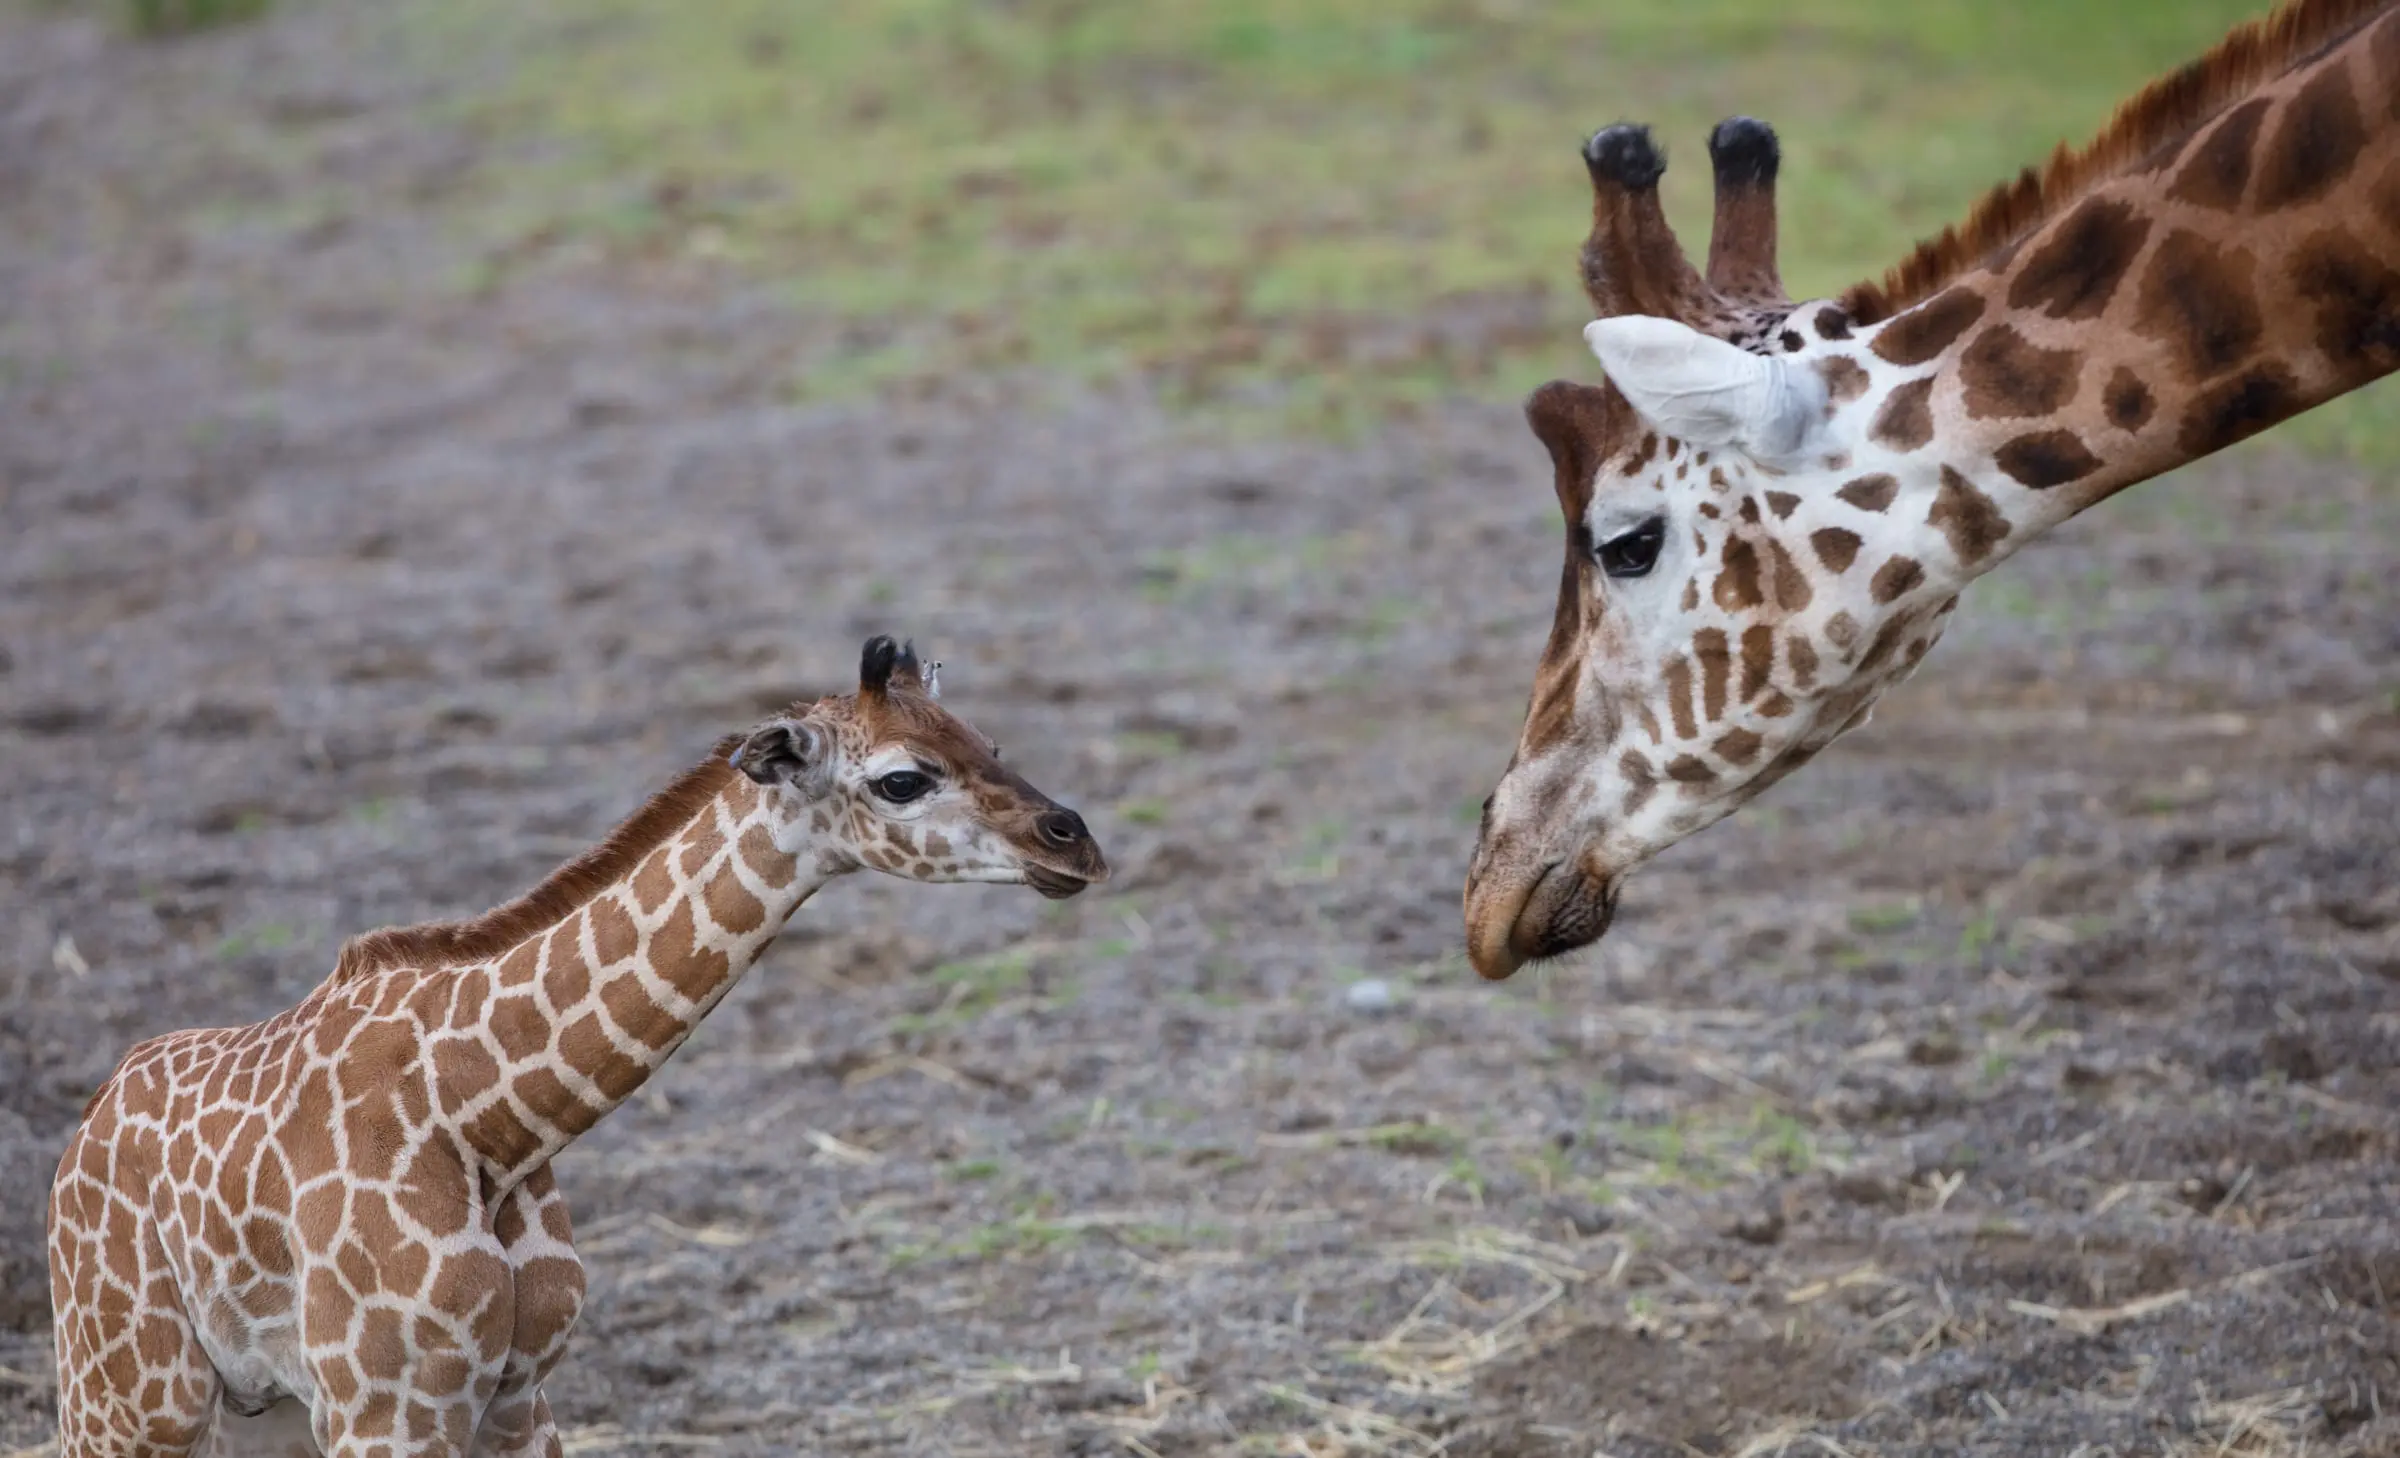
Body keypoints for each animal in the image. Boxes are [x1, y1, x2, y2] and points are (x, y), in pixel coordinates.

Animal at [46, 636, 1107, 1457]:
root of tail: (83, 1128)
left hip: (251, 1410)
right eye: (902, 779)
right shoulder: (384, 1407)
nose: (1075, 844)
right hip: (134, 1390)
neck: (488, 1122)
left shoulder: (517, 1395)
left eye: (987, 740)